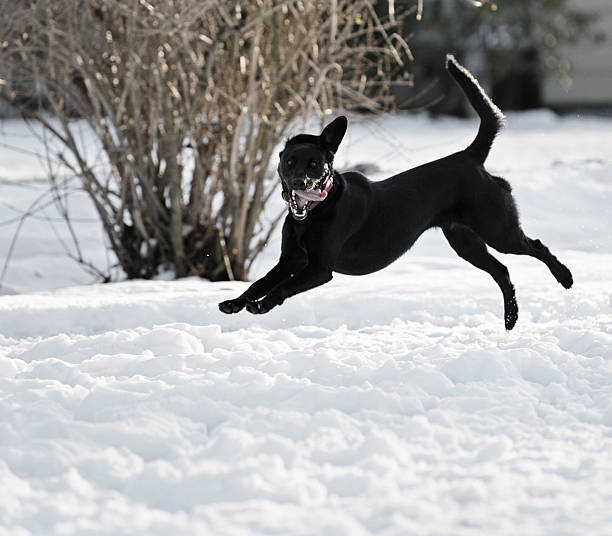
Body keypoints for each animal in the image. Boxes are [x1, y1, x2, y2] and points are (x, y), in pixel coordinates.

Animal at [221, 56, 572, 328]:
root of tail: (469, 157)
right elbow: (259, 282)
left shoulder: (319, 269)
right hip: (465, 241)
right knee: (502, 271)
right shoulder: (291, 260)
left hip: (498, 229)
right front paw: (236, 302)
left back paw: (565, 276)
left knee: (535, 246)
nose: (300, 184)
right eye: (290, 162)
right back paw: (511, 319)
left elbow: (282, 288)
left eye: (315, 165)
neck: (317, 213)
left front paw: (262, 305)